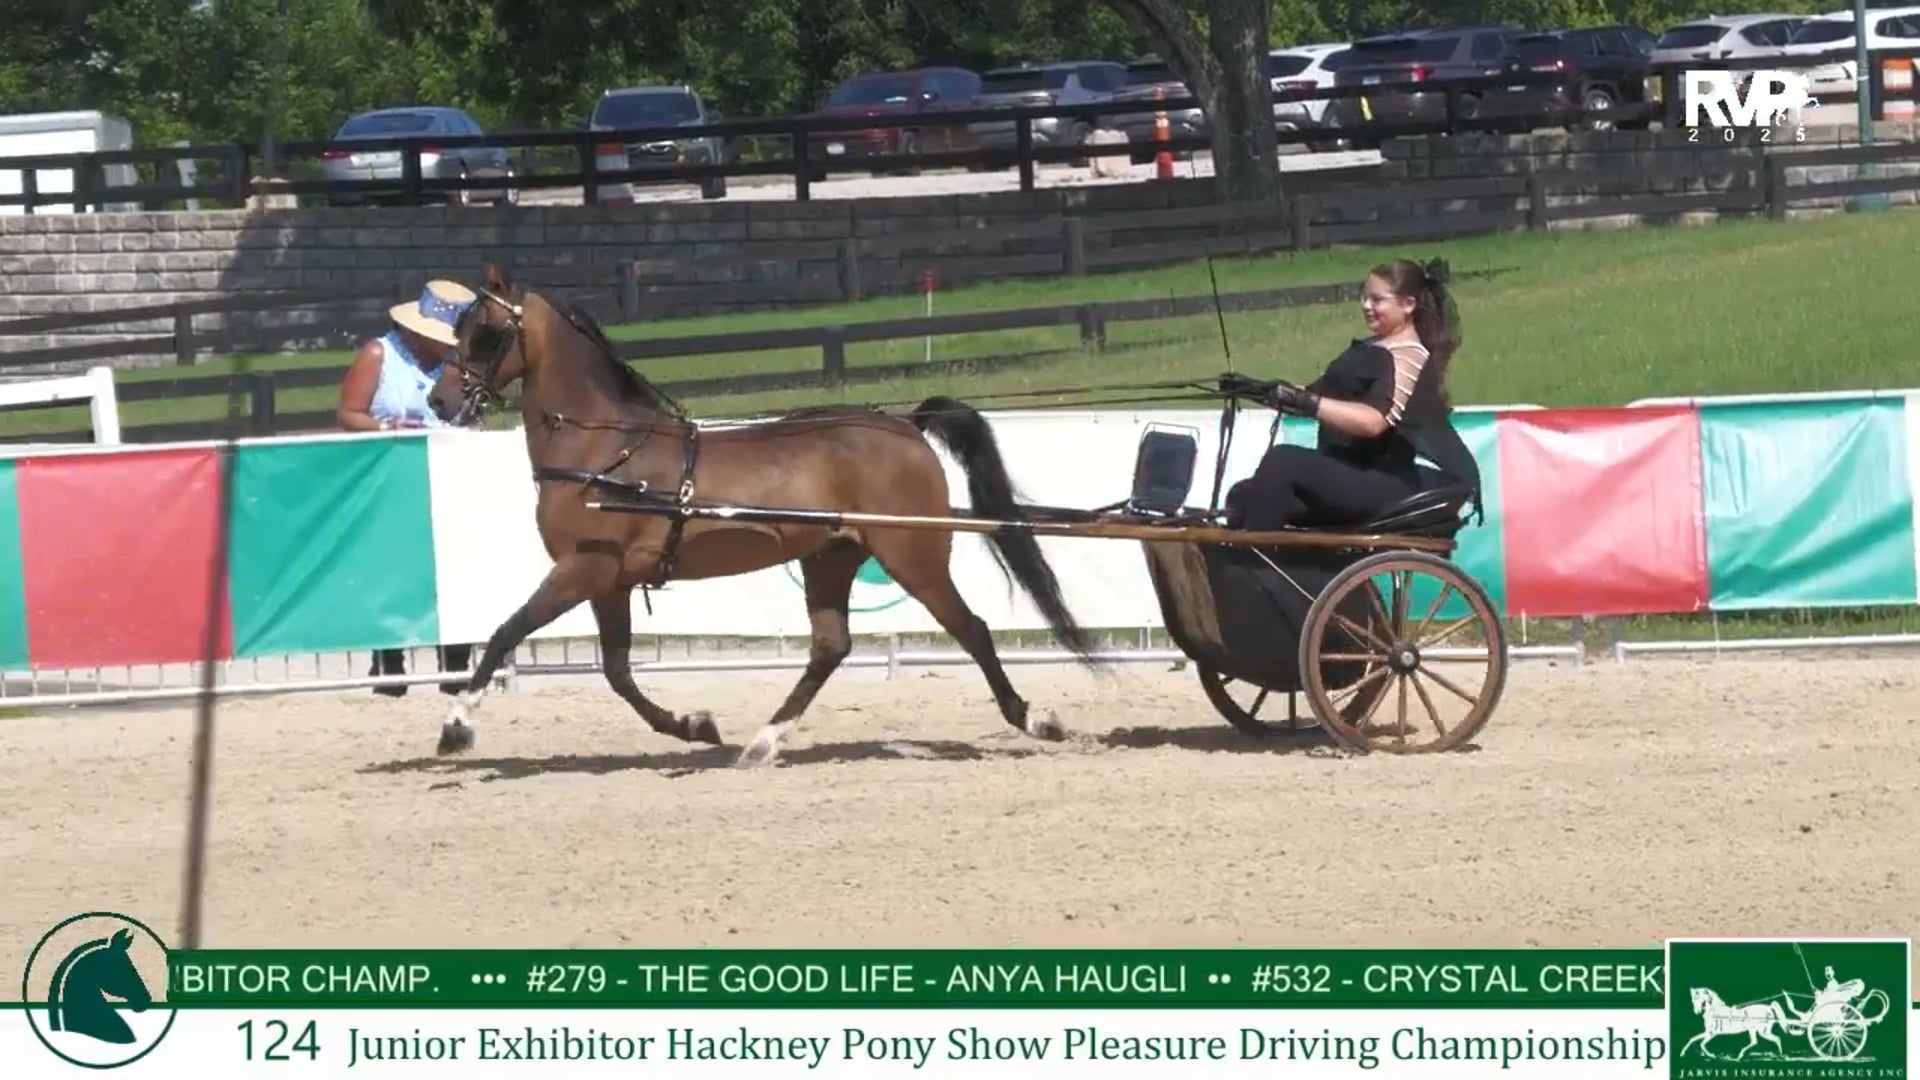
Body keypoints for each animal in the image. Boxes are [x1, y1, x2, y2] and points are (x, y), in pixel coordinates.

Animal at [423, 263, 1103, 768]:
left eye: (485, 331)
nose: (440, 400)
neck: (606, 451)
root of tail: (905, 425)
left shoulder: (581, 570)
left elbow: (506, 632)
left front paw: (456, 724)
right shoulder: (607, 582)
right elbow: (616, 672)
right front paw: (694, 725)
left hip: (911, 555)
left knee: (972, 628)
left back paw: (1034, 719)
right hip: (832, 557)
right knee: (831, 646)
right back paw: (763, 742)